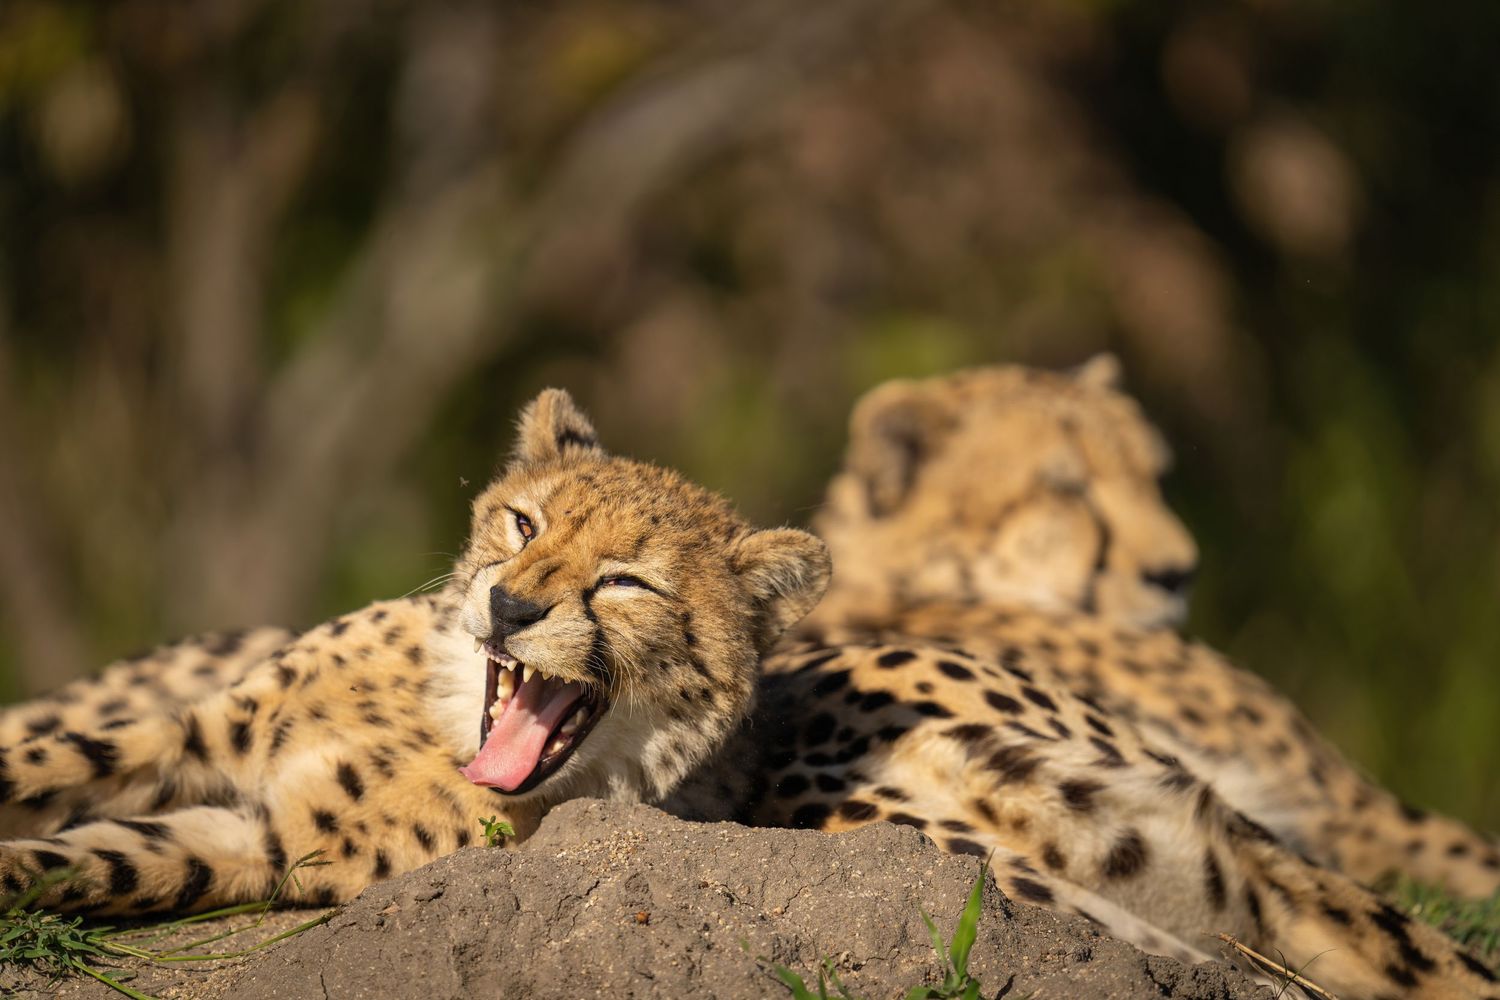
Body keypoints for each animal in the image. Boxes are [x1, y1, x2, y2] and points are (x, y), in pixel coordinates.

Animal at [0, 388, 831, 915]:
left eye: (625, 581)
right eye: (524, 525)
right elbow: (42, 761)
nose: (510, 607)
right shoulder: (196, 733)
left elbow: (71, 862)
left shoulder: (258, 844)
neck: (438, 724)